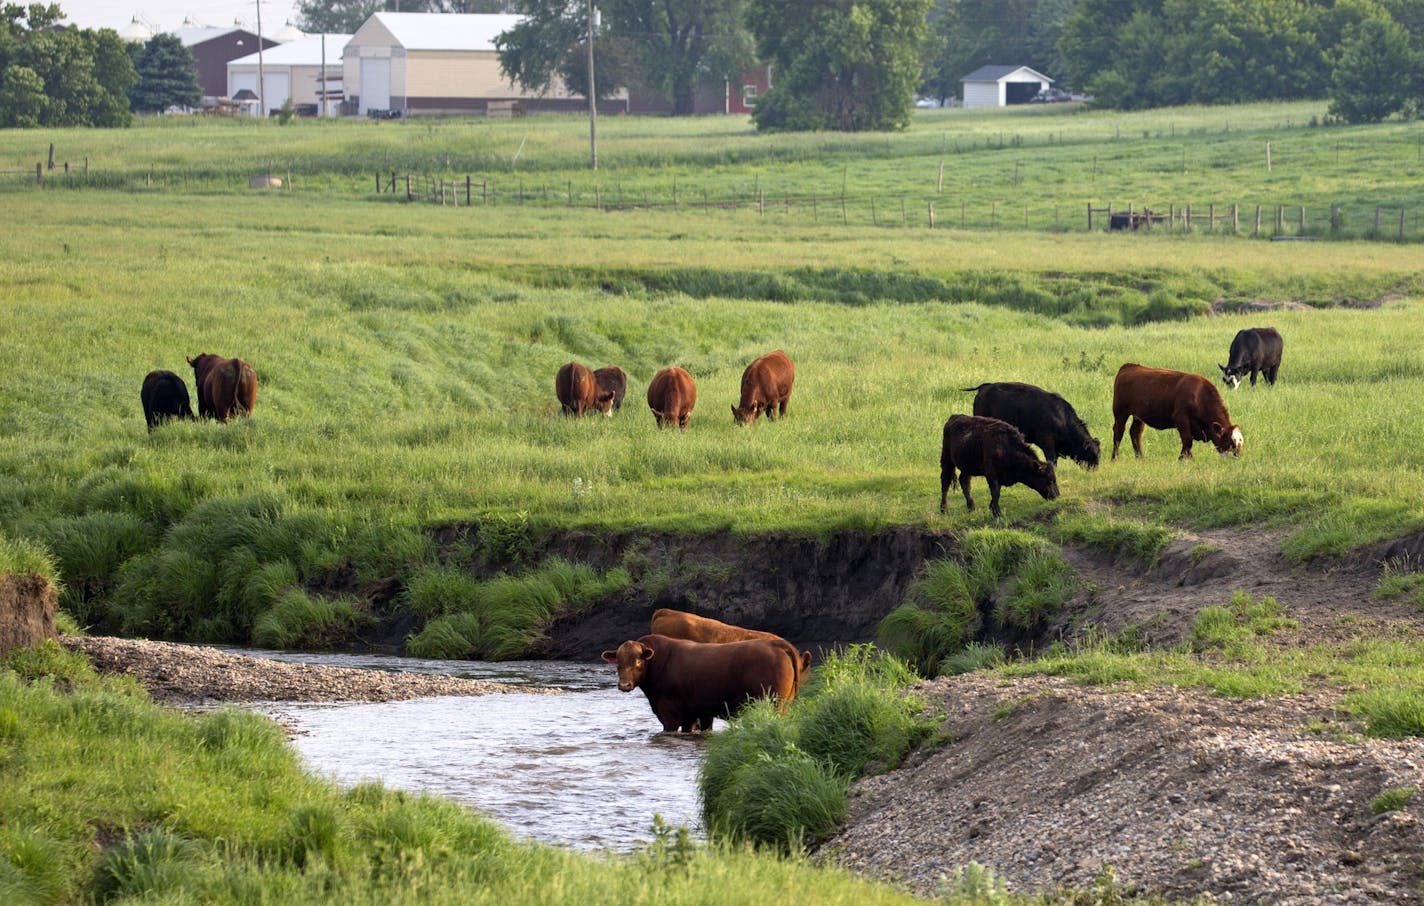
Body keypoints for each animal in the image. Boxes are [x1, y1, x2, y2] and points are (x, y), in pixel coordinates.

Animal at [600, 632, 803, 735]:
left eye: (638, 662)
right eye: (618, 662)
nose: (624, 685)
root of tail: (776, 644)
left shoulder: (670, 714)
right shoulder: (692, 714)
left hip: (775, 703)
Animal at [968, 381, 1099, 470]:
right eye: (1091, 454)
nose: (1094, 469)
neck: (1061, 417)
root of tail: (985, 387)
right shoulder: (1047, 442)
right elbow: (1052, 460)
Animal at [1110, 363, 1247, 458]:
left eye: (1241, 441)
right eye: (1231, 442)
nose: (1238, 457)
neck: (1199, 394)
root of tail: (1128, 367)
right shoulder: (1181, 419)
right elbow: (1187, 441)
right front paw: (1182, 459)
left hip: (1139, 416)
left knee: (1135, 433)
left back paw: (1140, 457)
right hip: (1120, 412)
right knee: (1118, 432)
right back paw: (1115, 458)